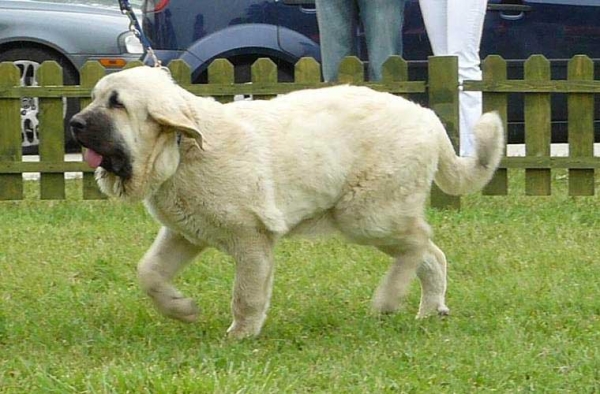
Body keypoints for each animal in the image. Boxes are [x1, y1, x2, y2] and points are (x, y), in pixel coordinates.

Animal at [68, 66, 504, 338]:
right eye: (94, 98)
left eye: (117, 104)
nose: (74, 123)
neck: (180, 148)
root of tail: (429, 118)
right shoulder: (185, 234)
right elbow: (150, 273)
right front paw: (180, 308)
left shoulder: (252, 239)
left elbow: (246, 295)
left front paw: (240, 336)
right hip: (378, 217)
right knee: (432, 254)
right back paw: (431, 308)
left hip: (366, 215)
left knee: (419, 241)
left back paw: (388, 298)